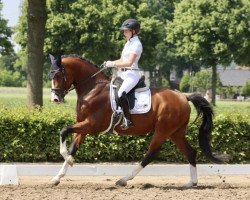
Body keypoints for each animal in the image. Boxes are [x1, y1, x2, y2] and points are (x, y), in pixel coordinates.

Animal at [48, 54, 223, 188]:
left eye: (58, 75)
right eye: (50, 75)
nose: (55, 98)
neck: (93, 89)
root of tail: (183, 96)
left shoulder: (91, 125)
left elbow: (63, 131)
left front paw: (68, 160)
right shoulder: (82, 126)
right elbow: (72, 147)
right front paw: (57, 177)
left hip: (163, 131)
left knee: (151, 154)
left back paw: (123, 180)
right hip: (176, 133)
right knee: (190, 152)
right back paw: (191, 183)